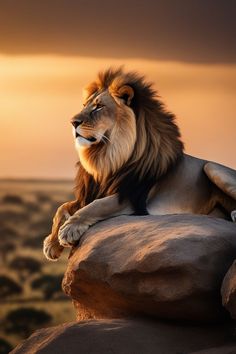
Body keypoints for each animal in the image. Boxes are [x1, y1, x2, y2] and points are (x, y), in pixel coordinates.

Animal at [43, 67, 236, 260]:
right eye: (84, 106)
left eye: (99, 106)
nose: (72, 122)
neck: (108, 158)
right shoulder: (91, 192)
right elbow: (62, 207)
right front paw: (51, 244)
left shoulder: (133, 196)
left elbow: (97, 205)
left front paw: (68, 230)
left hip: (211, 167)